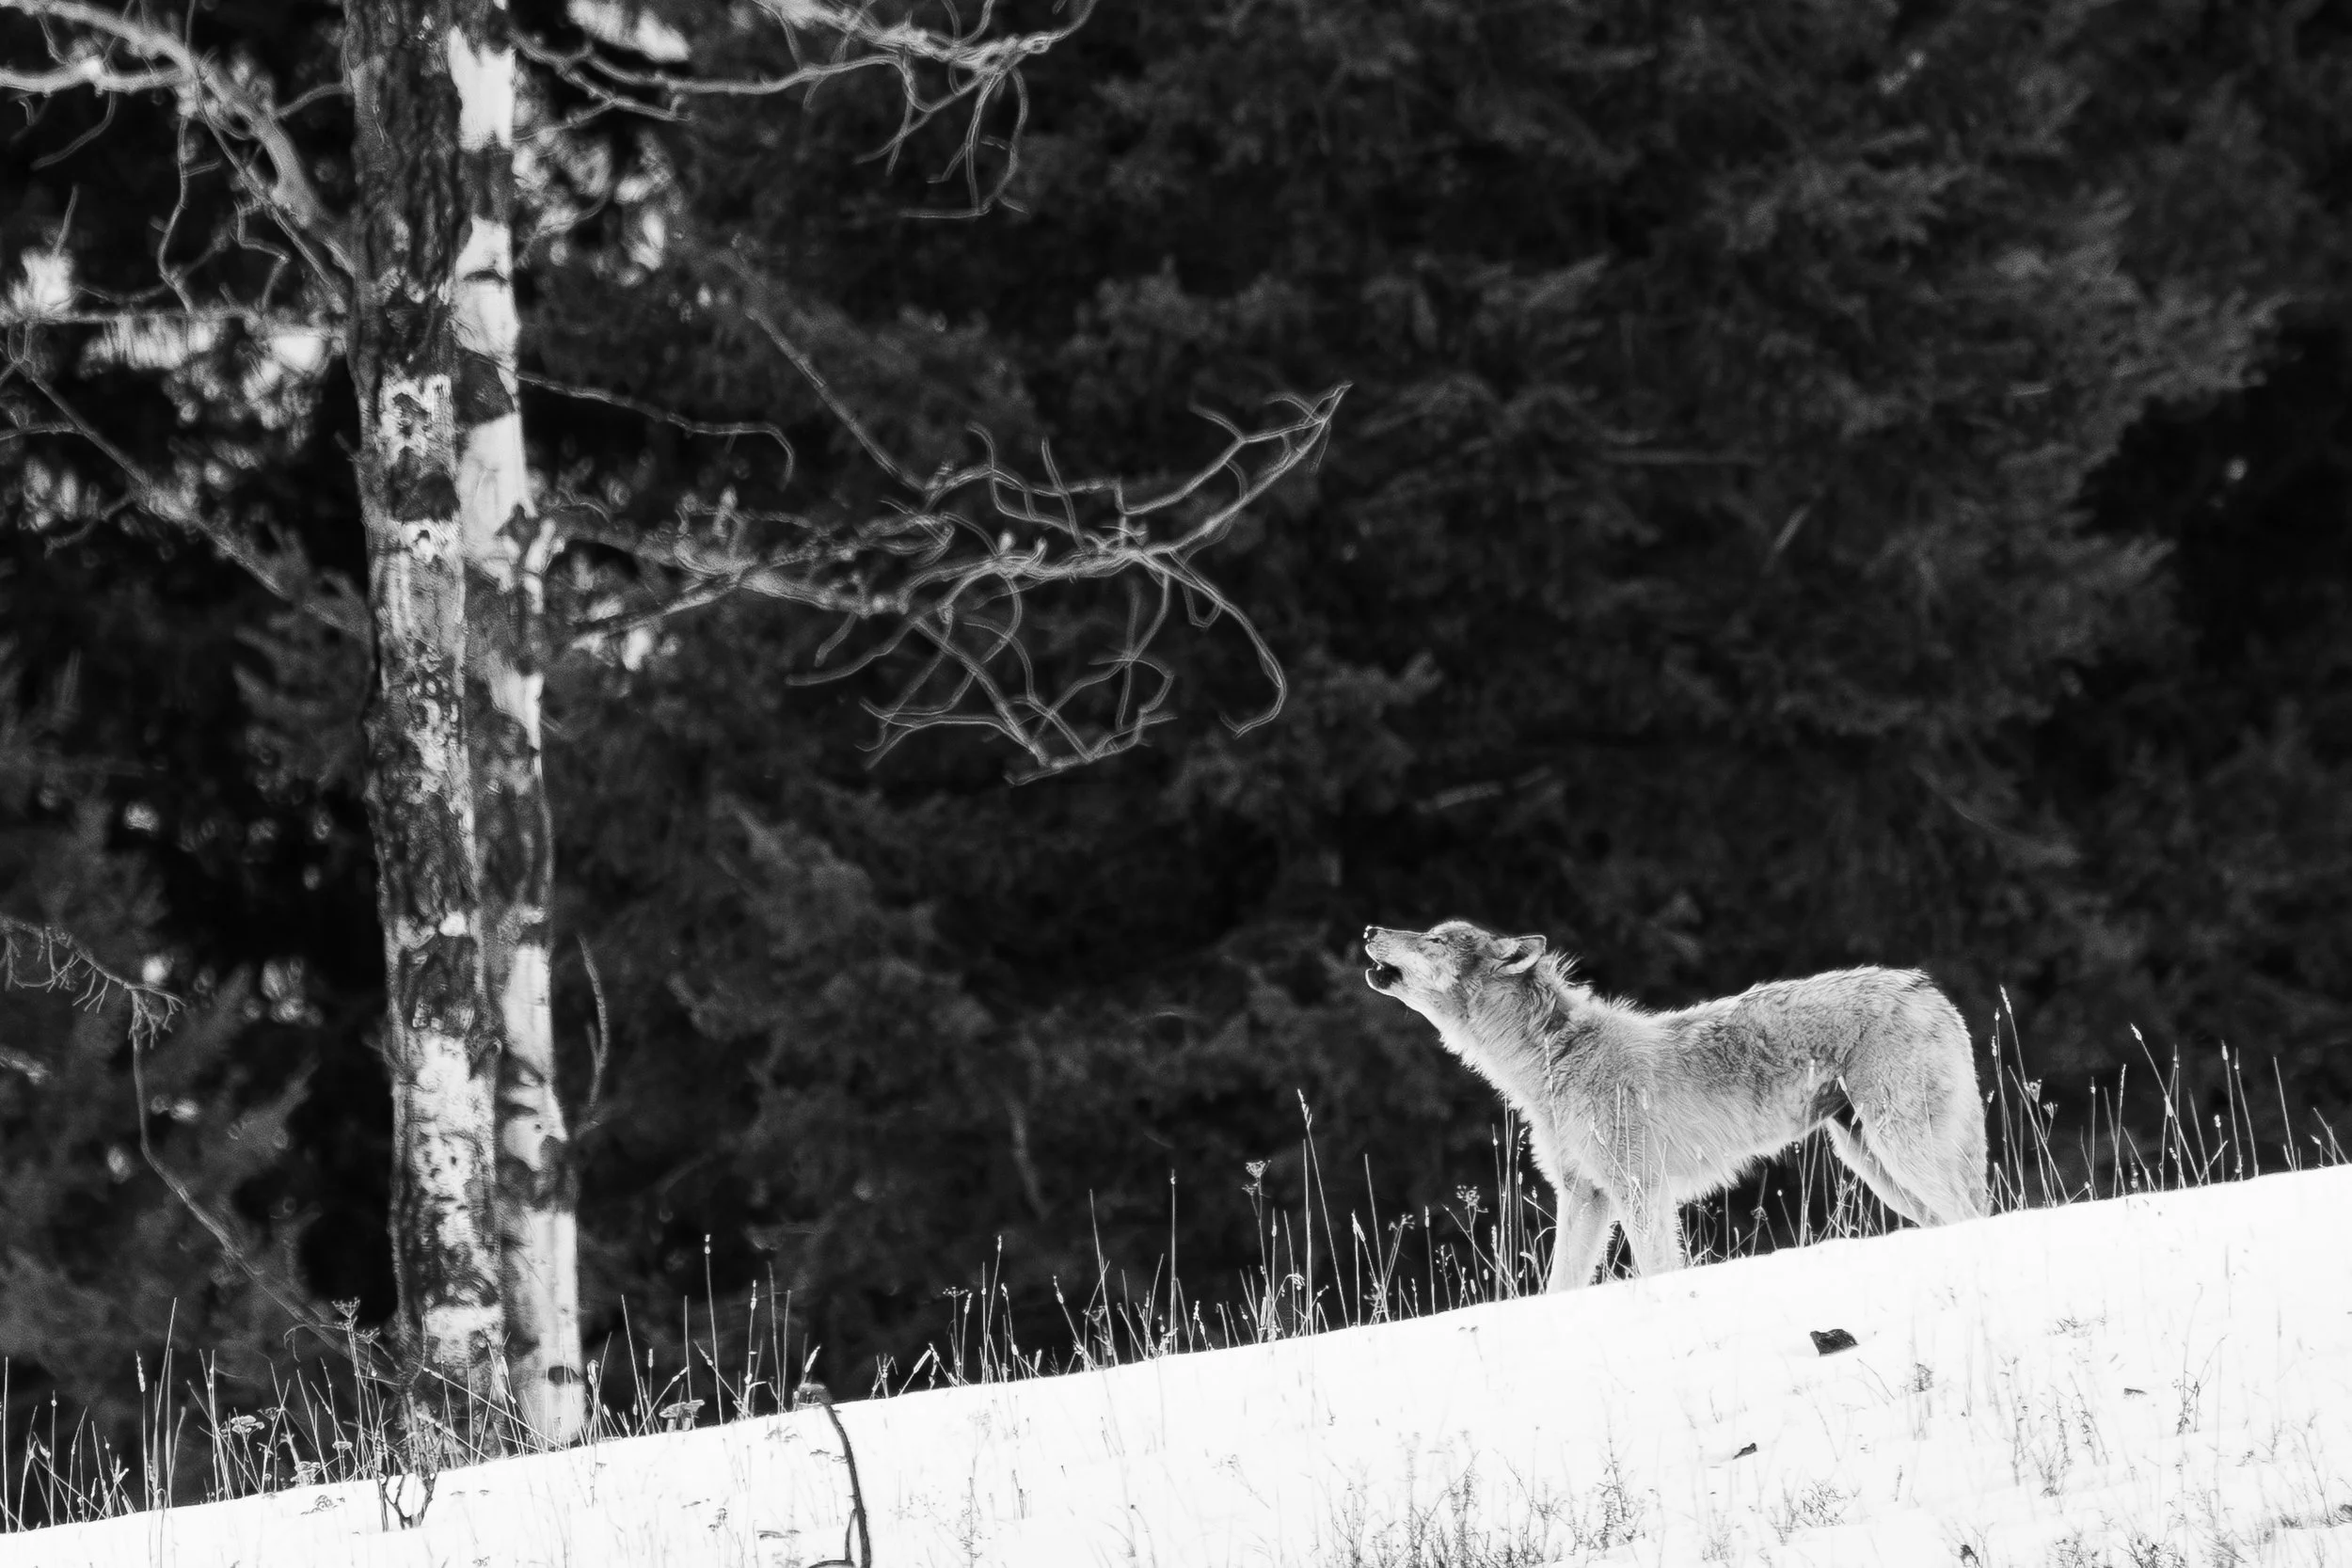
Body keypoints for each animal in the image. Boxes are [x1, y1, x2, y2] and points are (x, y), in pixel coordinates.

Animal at [1363, 920, 1988, 1289]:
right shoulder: (1585, 1197)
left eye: (1436, 939)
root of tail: (1924, 986)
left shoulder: (1640, 1192)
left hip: (1899, 1152)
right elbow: (1562, 1284)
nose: (1369, 927)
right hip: (1875, 1164)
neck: (1556, 1057)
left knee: (1973, 1216)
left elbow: (1657, 1269)